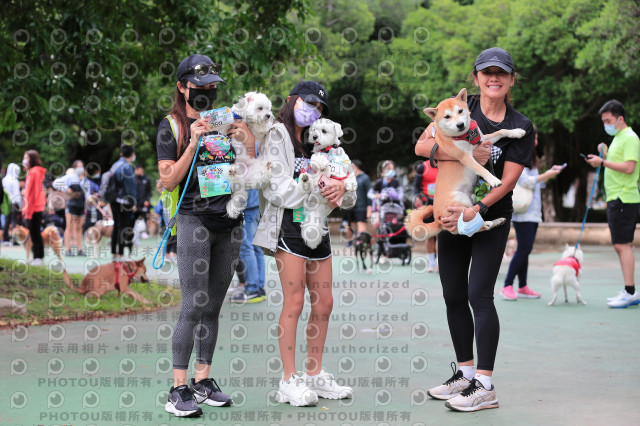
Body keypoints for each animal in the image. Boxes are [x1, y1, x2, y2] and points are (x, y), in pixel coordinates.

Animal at [298, 117, 358, 250]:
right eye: (313, 129)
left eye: (324, 131)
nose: (314, 136)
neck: (327, 149)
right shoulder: (315, 159)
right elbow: (316, 159)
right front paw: (322, 162)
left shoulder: (345, 161)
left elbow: (349, 172)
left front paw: (350, 183)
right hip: (314, 183)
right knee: (309, 185)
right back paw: (305, 179)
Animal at [404, 87, 524, 240]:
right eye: (447, 117)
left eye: (460, 111)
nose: (460, 124)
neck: (467, 136)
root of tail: (437, 220)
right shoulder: (466, 157)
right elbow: (481, 169)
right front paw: (494, 180)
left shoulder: (484, 139)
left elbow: (501, 131)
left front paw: (517, 132)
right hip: (460, 201)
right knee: (466, 228)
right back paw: (489, 224)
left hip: (470, 199)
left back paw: (495, 221)